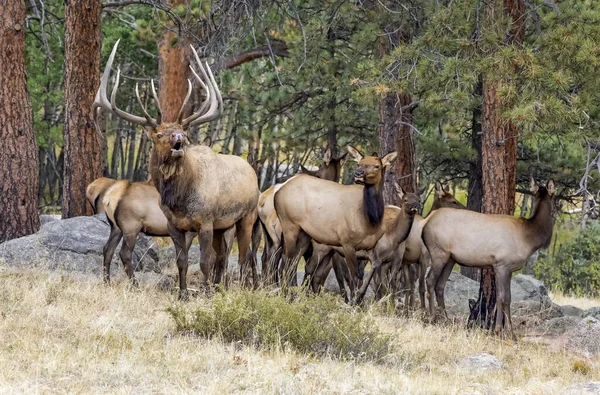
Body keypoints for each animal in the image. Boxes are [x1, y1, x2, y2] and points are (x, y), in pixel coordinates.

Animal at [94, 41, 260, 300]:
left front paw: (206, 293)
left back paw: (240, 288)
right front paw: (182, 294)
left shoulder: (204, 222)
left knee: (244, 255)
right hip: (212, 226)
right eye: (159, 134)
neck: (178, 200)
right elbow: (182, 261)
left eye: (183, 130)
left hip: (245, 216)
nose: (179, 138)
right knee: (225, 256)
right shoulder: (175, 226)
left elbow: (204, 261)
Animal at [274, 145, 396, 304]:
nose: (358, 173)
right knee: (286, 261)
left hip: (305, 234)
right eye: (359, 163)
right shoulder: (346, 243)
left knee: (293, 263)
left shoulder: (371, 246)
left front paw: (360, 298)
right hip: (289, 226)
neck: (370, 219)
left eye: (377, 166)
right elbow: (352, 276)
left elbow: (371, 271)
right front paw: (353, 302)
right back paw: (285, 295)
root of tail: (278, 191)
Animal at [422, 179, 556, 338]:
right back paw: (432, 317)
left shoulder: (507, 268)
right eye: (554, 197)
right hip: (438, 253)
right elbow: (502, 297)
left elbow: (507, 298)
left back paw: (446, 320)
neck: (529, 238)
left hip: (450, 258)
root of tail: (425, 223)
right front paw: (499, 330)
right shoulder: (502, 264)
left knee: (440, 285)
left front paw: (509, 331)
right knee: (430, 280)